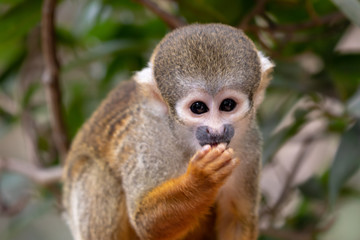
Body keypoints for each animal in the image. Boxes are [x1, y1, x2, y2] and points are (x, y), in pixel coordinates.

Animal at [63, 23, 274, 240]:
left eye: (228, 105)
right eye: (198, 107)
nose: (215, 130)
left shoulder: (249, 144)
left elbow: (237, 218)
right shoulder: (148, 137)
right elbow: (145, 222)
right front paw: (201, 179)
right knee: (97, 173)